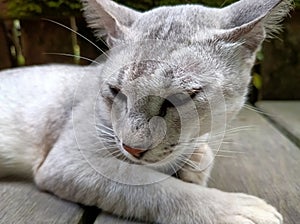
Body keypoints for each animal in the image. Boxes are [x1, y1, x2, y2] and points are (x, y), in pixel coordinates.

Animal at [0, 0, 292, 223]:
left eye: (181, 97)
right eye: (116, 91)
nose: (133, 148)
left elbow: (200, 156)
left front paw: (192, 164)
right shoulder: (70, 160)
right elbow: (151, 186)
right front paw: (234, 209)